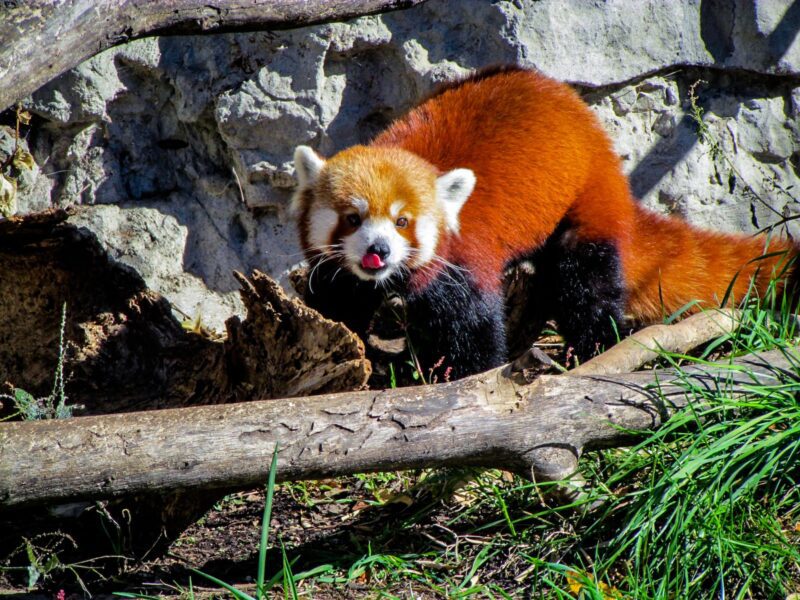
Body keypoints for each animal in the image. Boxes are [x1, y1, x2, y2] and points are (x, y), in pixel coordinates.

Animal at [290, 64, 796, 376]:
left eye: (403, 221)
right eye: (352, 218)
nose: (379, 251)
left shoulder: (463, 257)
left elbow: (471, 325)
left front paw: (459, 375)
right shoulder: (340, 272)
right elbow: (337, 301)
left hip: (585, 201)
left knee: (586, 283)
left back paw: (592, 346)